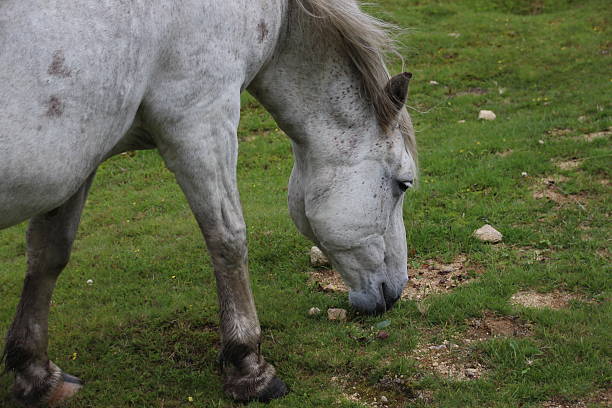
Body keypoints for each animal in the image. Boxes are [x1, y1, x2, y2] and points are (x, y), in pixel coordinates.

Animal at [0, 0, 416, 404]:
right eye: (404, 184)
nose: (396, 291)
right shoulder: (201, 121)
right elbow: (228, 239)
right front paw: (250, 368)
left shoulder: (79, 163)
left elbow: (48, 255)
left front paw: (37, 374)